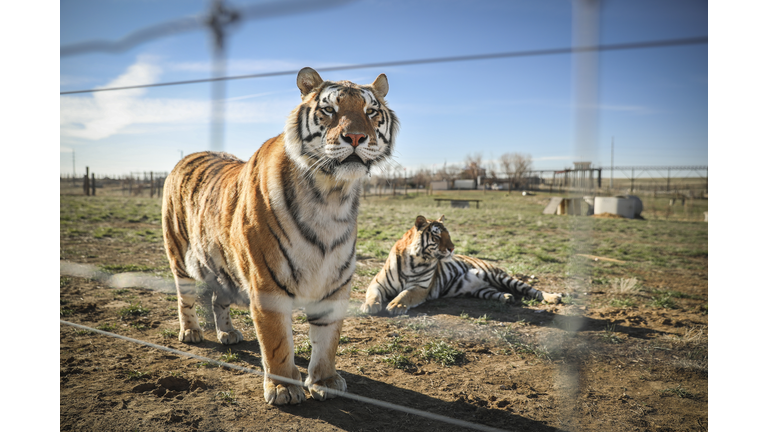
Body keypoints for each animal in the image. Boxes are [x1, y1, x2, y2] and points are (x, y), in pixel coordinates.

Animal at [164, 67, 402, 404]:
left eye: (371, 112)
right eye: (330, 110)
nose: (356, 137)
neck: (331, 195)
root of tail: (188, 156)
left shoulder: (335, 283)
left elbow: (328, 340)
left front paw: (325, 381)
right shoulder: (267, 284)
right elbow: (276, 341)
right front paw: (283, 388)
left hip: (223, 264)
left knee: (218, 298)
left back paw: (228, 333)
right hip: (179, 254)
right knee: (184, 296)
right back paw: (191, 333)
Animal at [360, 215, 564, 314]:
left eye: (448, 235)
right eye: (437, 236)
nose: (452, 248)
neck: (414, 259)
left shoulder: (421, 288)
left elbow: (405, 294)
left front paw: (396, 305)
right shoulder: (377, 283)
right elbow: (372, 294)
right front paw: (369, 306)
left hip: (500, 276)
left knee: (532, 289)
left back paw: (553, 297)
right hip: (482, 289)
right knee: (495, 292)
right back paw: (507, 297)